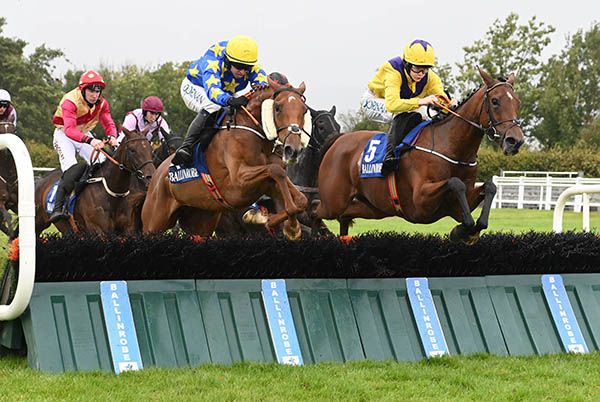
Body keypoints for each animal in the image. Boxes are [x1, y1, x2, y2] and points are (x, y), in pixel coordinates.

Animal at [141, 78, 310, 239]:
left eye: (304, 110)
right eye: (277, 108)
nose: (293, 149)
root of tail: (156, 174)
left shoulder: (268, 184)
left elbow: (300, 200)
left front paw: (291, 227)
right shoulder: (237, 183)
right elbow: (276, 170)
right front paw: (264, 219)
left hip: (201, 221)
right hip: (154, 221)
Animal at [314, 68, 524, 245]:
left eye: (517, 102)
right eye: (495, 101)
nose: (515, 141)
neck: (452, 147)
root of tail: (339, 139)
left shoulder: (457, 207)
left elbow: (489, 188)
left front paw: (466, 232)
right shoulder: (420, 201)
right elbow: (455, 182)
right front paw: (462, 231)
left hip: (373, 207)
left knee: (344, 217)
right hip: (333, 202)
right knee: (314, 213)